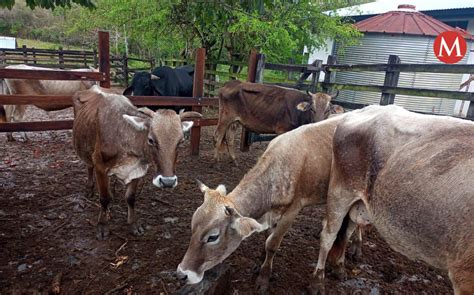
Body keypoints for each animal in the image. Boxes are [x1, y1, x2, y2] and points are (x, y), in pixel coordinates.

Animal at [72, 85, 202, 240]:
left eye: (180, 142)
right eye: (151, 139)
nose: (168, 182)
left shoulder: (138, 169)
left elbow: (130, 198)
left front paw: (133, 224)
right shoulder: (99, 165)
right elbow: (104, 198)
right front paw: (102, 226)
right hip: (86, 150)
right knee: (89, 166)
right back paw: (90, 189)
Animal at [178, 114, 362, 294]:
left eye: (213, 237)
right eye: (192, 227)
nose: (182, 274)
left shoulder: (293, 210)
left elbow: (272, 244)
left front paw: (264, 277)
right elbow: (266, 237)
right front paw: (261, 261)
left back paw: (343, 263)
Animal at [312, 105, 474, 294]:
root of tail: (360, 111)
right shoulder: (464, 273)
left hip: (358, 203)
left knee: (346, 232)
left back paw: (339, 268)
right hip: (340, 193)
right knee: (328, 236)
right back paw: (317, 282)